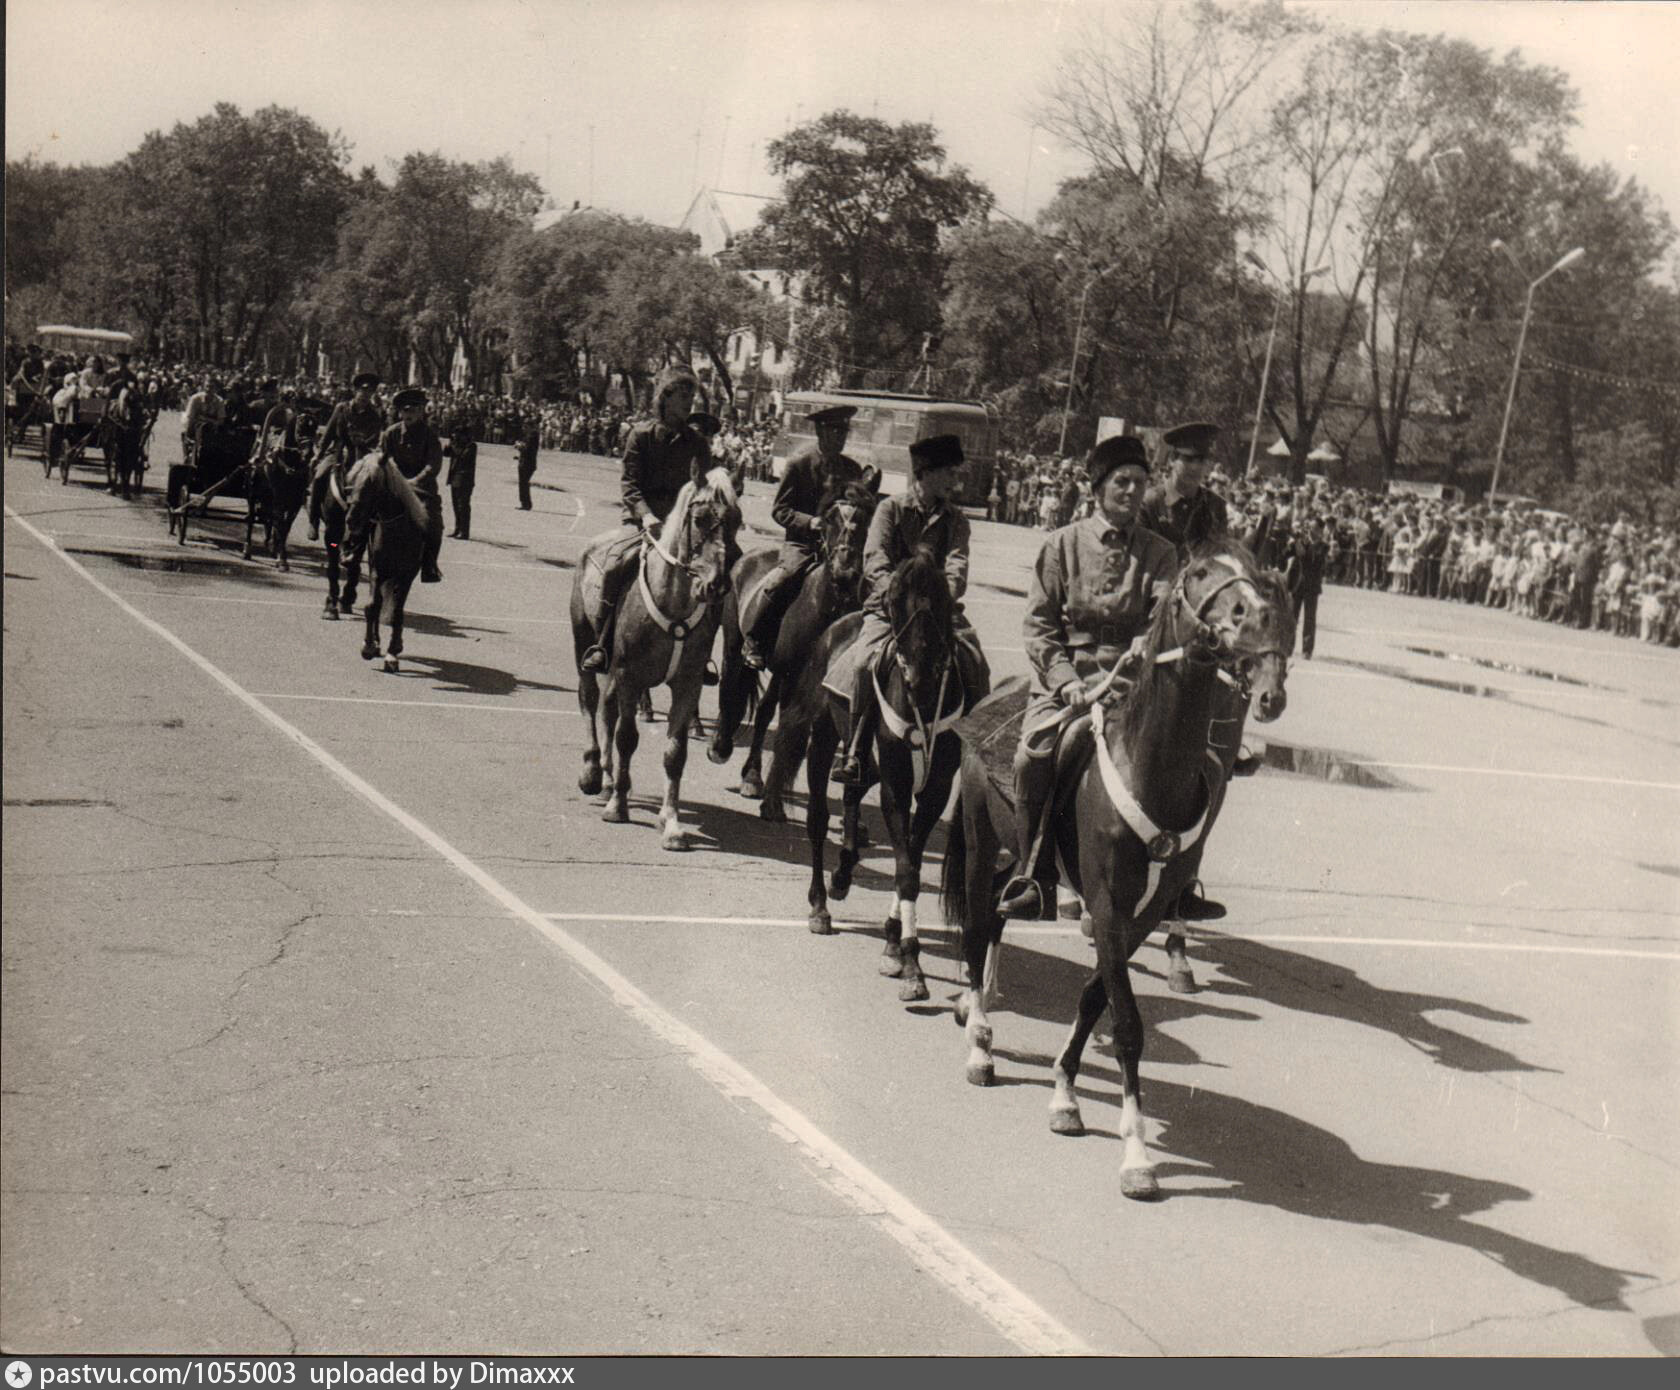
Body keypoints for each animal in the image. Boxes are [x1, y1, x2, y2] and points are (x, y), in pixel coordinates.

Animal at [343, 452, 427, 673]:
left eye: (371, 482)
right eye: (352, 480)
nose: (351, 519)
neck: (397, 531)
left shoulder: (406, 576)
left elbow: (397, 612)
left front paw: (393, 653)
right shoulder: (377, 571)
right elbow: (372, 606)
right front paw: (368, 646)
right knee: (379, 604)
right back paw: (376, 643)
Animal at [570, 466, 740, 851]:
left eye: (736, 521)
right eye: (700, 518)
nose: (716, 585)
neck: (674, 601)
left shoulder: (687, 684)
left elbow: (675, 753)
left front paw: (672, 823)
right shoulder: (630, 676)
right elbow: (627, 737)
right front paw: (618, 807)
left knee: (606, 709)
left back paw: (606, 779)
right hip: (585, 646)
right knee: (589, 700)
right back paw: (592, 772)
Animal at [707, 481, 878, 806]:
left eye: (865, 519)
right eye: (829, 519)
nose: (846, 572)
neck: (825, 603)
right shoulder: (791, 674)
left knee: (763, 709)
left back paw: (752, 775)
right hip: (736, 645)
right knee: (731, 685)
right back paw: (722, 747)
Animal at [774, 546, 986, 1003]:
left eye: (940, 599)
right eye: (895, 598)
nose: (919, 674)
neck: (924, 700)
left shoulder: (936, 789)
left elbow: (913, 862)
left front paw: (894, 945)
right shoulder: (897, 784)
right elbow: (906, 870)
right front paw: (910, 965)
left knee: (855, 789)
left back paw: (843, 872)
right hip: (823, 736)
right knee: (818, 819)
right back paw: (820, 904)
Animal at [939, 542, 1289, 1197]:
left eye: (1260, 578)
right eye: (1199, 575)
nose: (1258, 637)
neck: (1151, 770)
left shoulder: (1140, 915)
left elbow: (1095, 997)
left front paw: (1065, 1094)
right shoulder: (1105, 904)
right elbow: (1126, 1023)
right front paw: (1137, 1156)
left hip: (1013, 857)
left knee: (997, 918)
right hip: (977, 842)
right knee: (973, 931)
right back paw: (979, 1047)